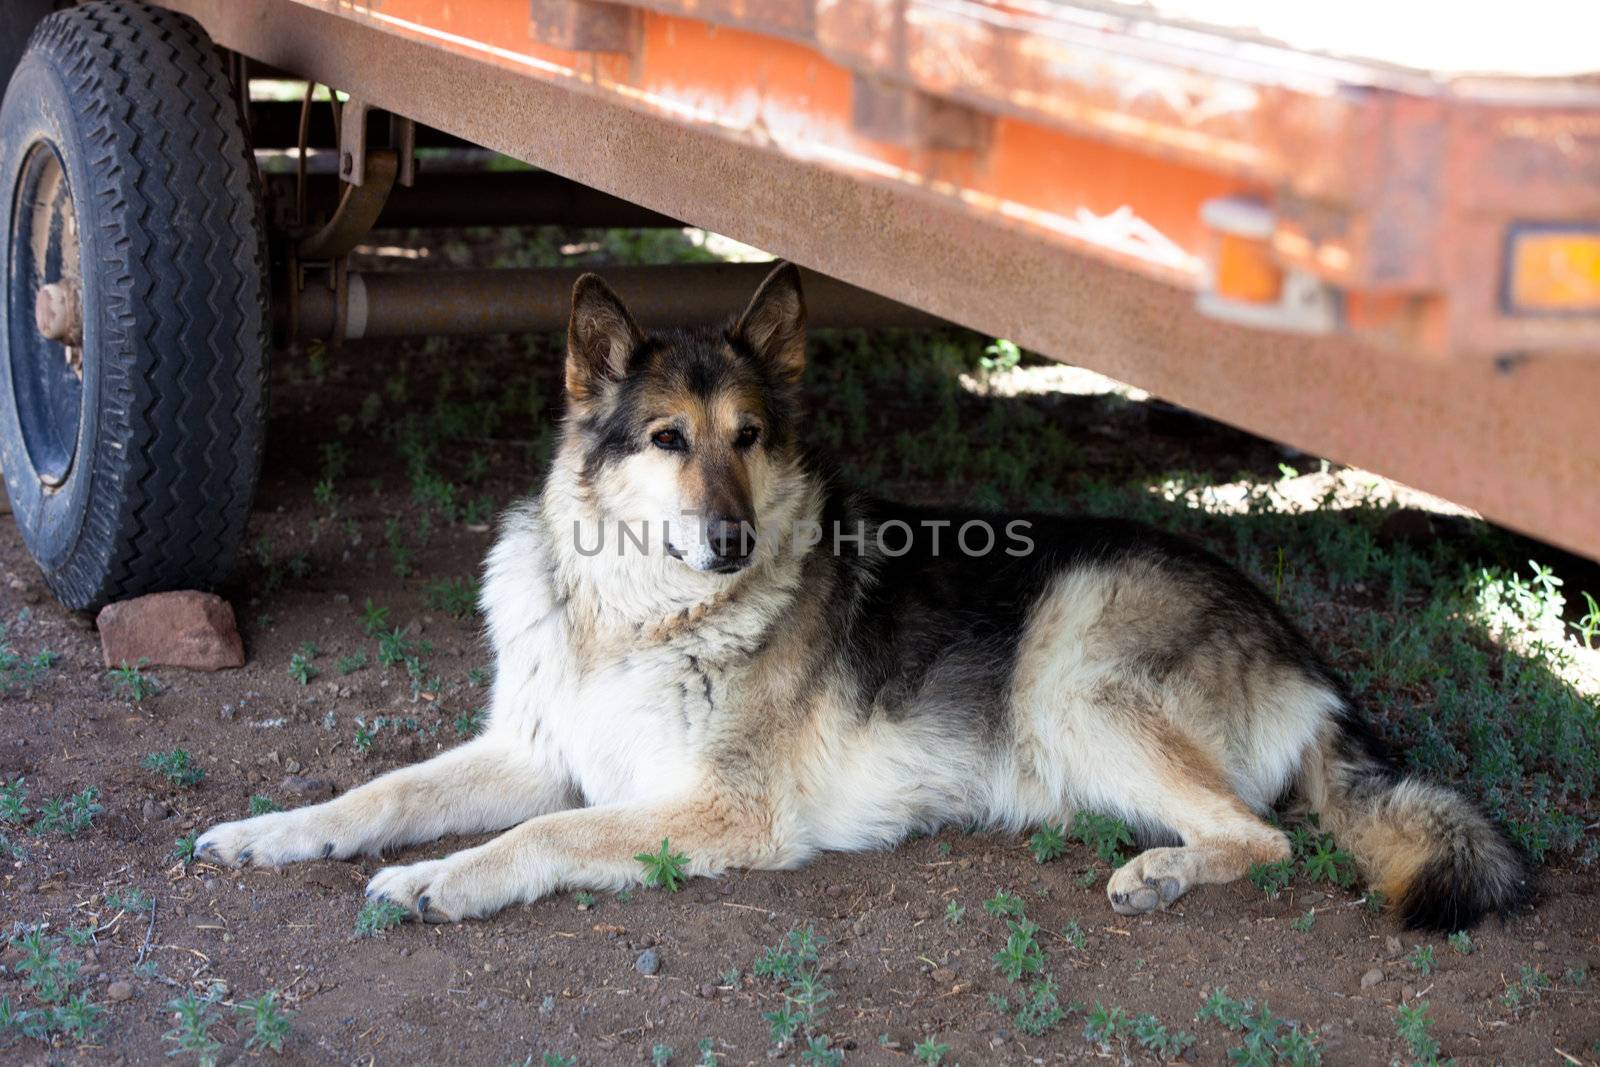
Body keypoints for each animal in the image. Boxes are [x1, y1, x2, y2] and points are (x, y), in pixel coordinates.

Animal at [193, 262, 1529, 927]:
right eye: (668, 439)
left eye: (748, 437)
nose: (730, 540)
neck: (633, 612)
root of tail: (1306, 657)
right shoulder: (534, 748)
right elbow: (378, 793)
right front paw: (273, 832)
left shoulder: (713, 813)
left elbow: (539, 836)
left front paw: (438, 881)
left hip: (1071, 672)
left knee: (1262, 837)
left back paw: (1156, 874)